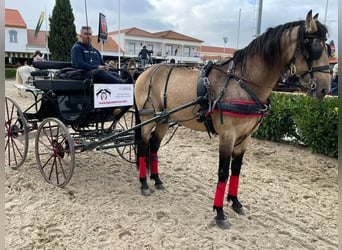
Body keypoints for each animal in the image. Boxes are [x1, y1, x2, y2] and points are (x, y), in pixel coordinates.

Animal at [133, 10, 328, 229]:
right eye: (314, 47)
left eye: (327, 46)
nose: (324, 88)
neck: (242, 82)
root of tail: (145, 72)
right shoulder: (227, 135)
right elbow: (223, 172)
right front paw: (219, 213)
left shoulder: (245, 137)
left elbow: (236, 169)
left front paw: (235, 202)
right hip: (148, 119)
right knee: (143, 146)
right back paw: (144, 183)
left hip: (164, 120)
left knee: (154, 146)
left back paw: (157, 179)